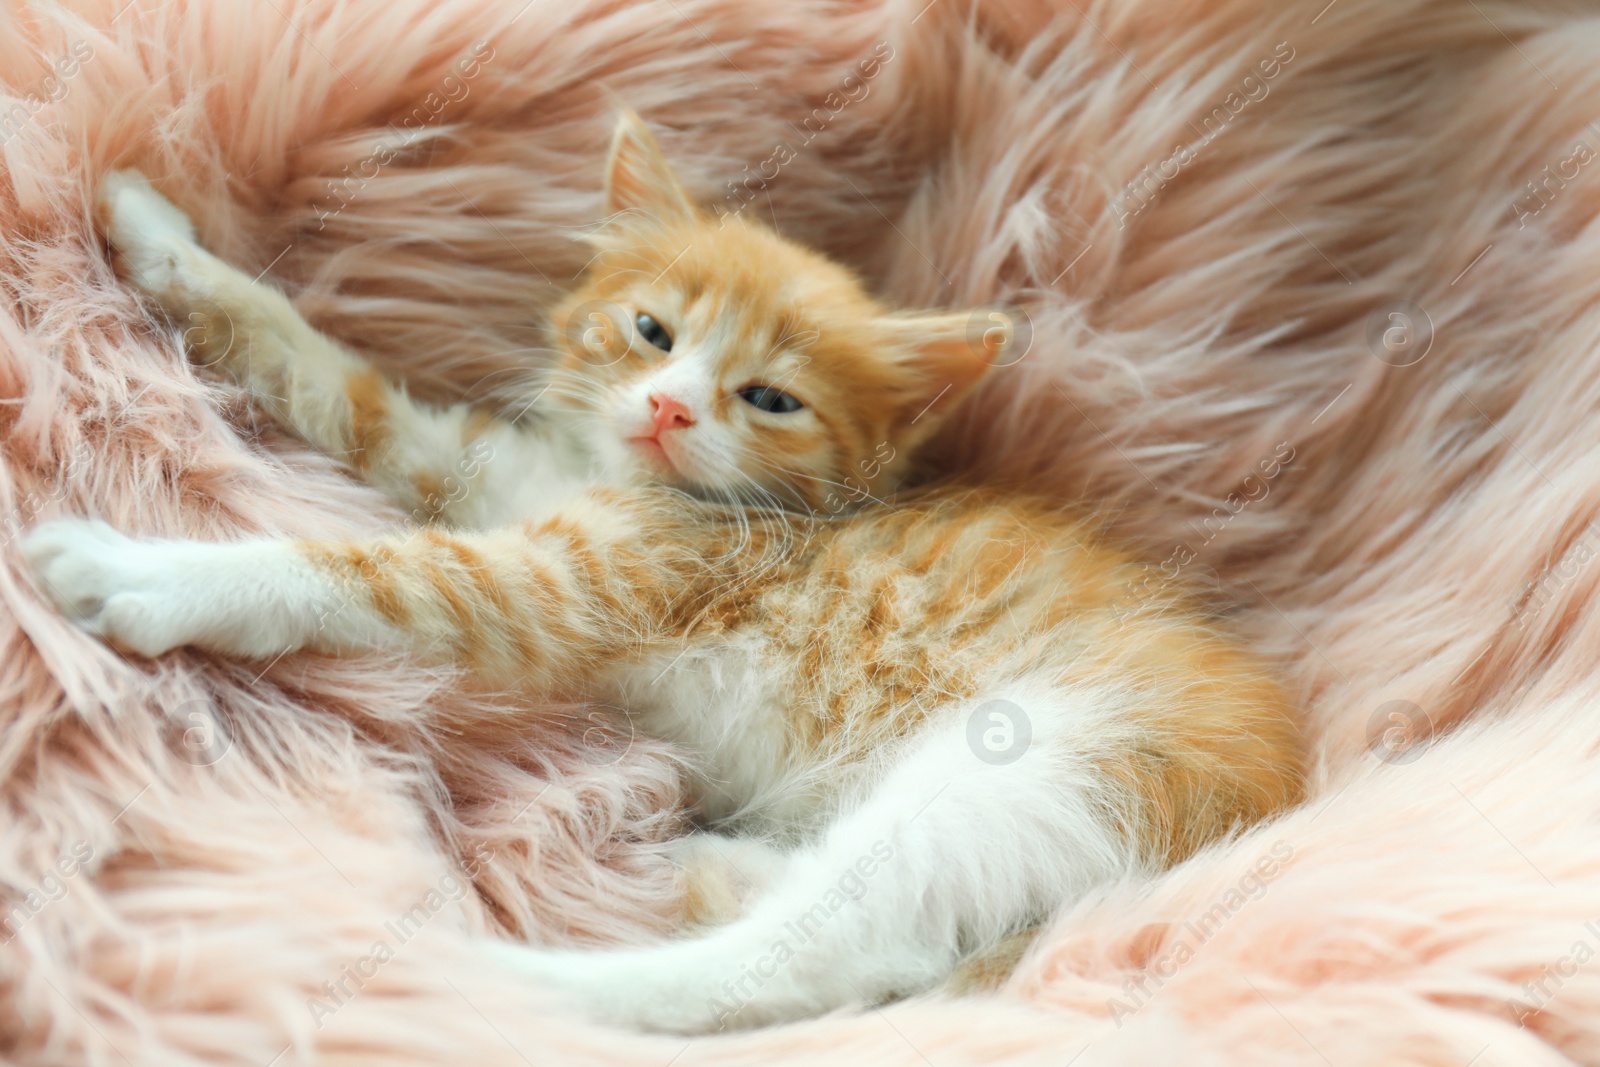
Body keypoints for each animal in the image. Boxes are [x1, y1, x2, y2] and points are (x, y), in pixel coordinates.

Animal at [21, 110, 1299, 1036]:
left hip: (1039, 765)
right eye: (651, 331)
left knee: (809, 959)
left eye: (770, 397)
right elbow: (343, 385)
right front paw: (157, 235)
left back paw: (488, 978)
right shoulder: (504, 479)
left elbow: (374, 568)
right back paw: (725, 868)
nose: (672, 408)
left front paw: (144, 570)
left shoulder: (581, 577)